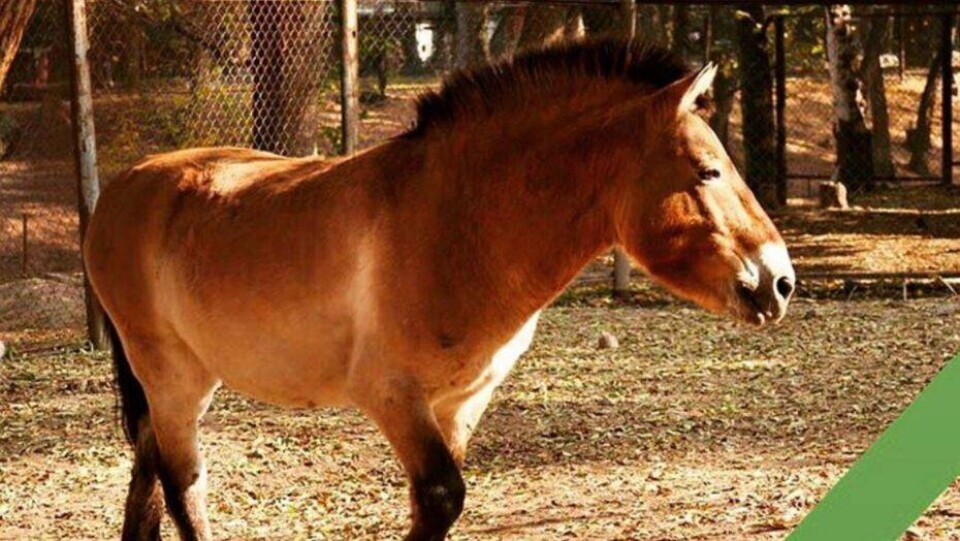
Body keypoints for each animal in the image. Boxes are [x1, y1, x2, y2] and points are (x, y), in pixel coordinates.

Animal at [84, 40, 795, 541]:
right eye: (707, 170)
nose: (780, 280)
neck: (453, 222)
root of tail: (122, 189)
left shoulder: (461, 403)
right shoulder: (392, 396)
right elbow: (441, 499)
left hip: (184, 382)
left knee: (149, 474)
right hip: (171, 377)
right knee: (182, 484)